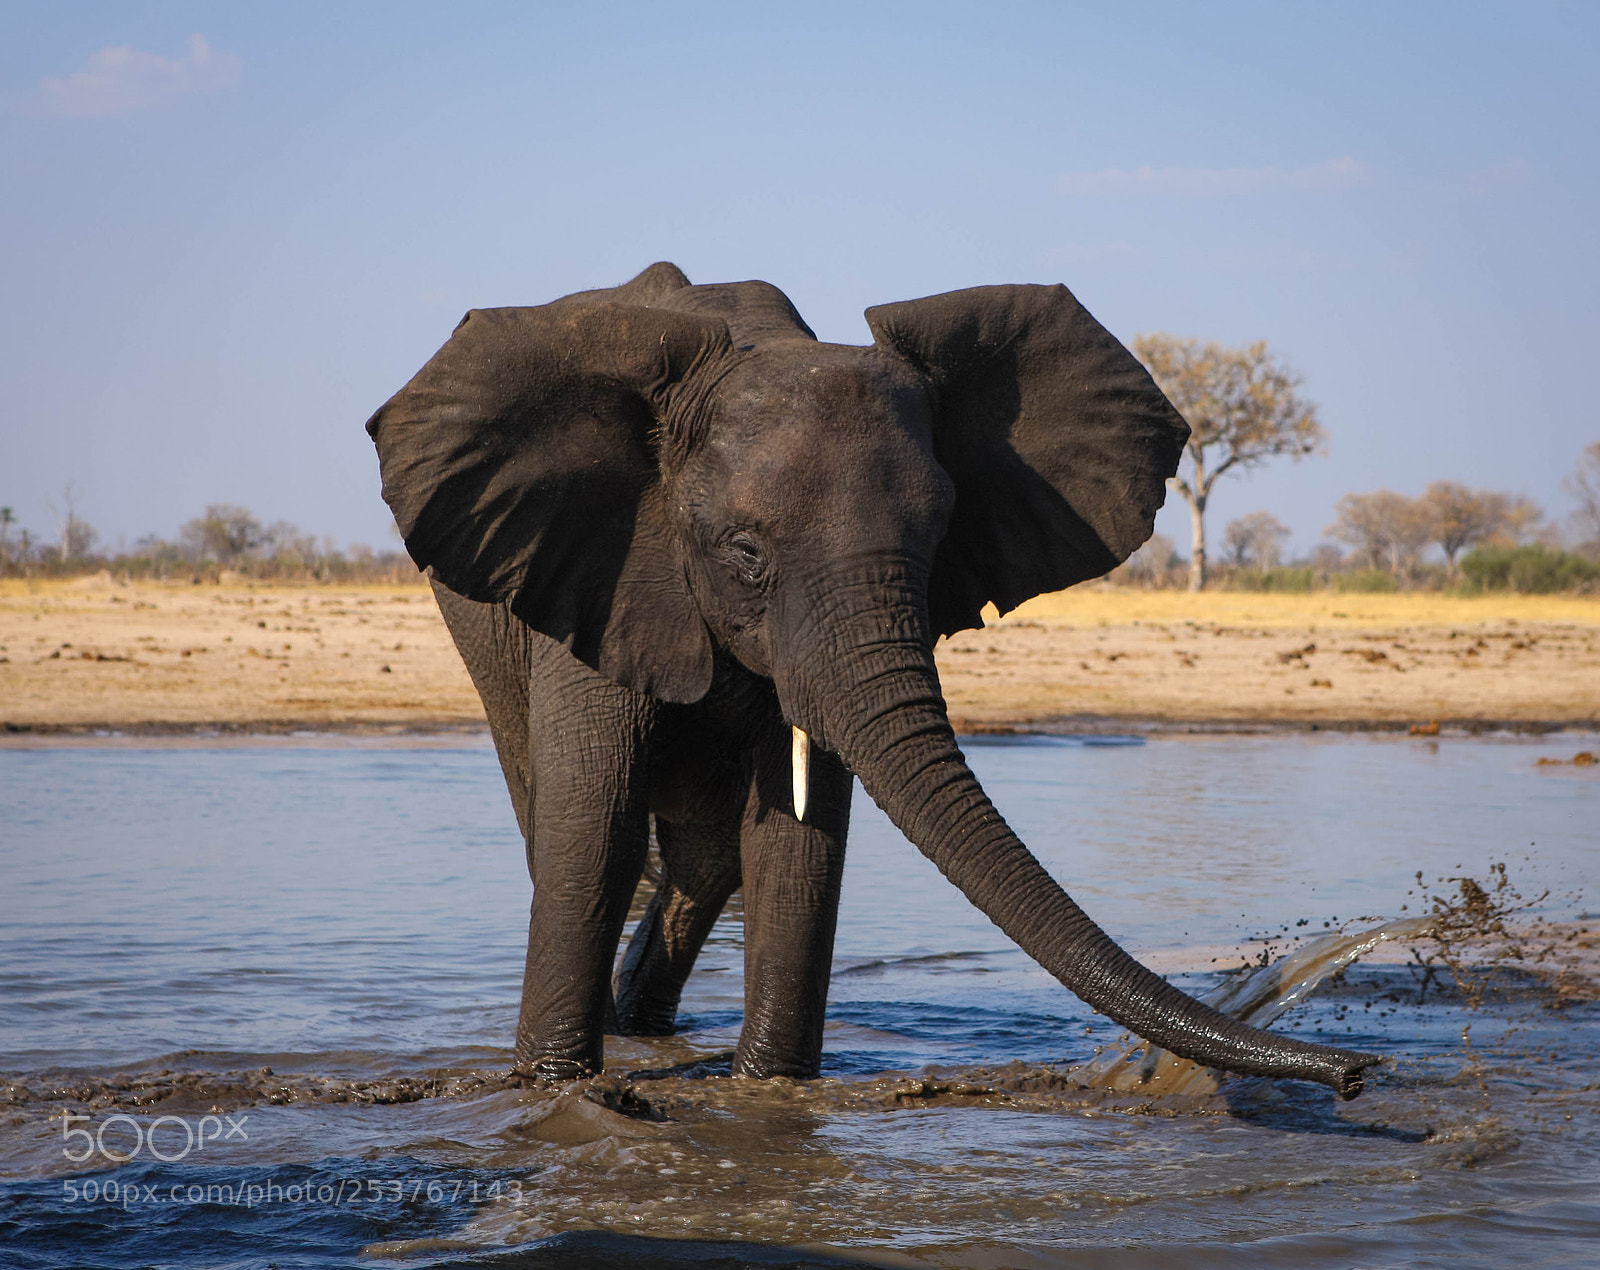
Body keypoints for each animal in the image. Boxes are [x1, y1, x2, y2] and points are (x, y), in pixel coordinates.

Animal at [366, 262, 1378, 1098]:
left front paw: (769, 1097)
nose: (1358, 1072)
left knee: (710, 859)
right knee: (562, 822)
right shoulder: (604, 568)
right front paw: (553, 1091)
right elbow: (594, 830)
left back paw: (646, 1026)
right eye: (745, 553)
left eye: (938, 539)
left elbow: (795, 844)